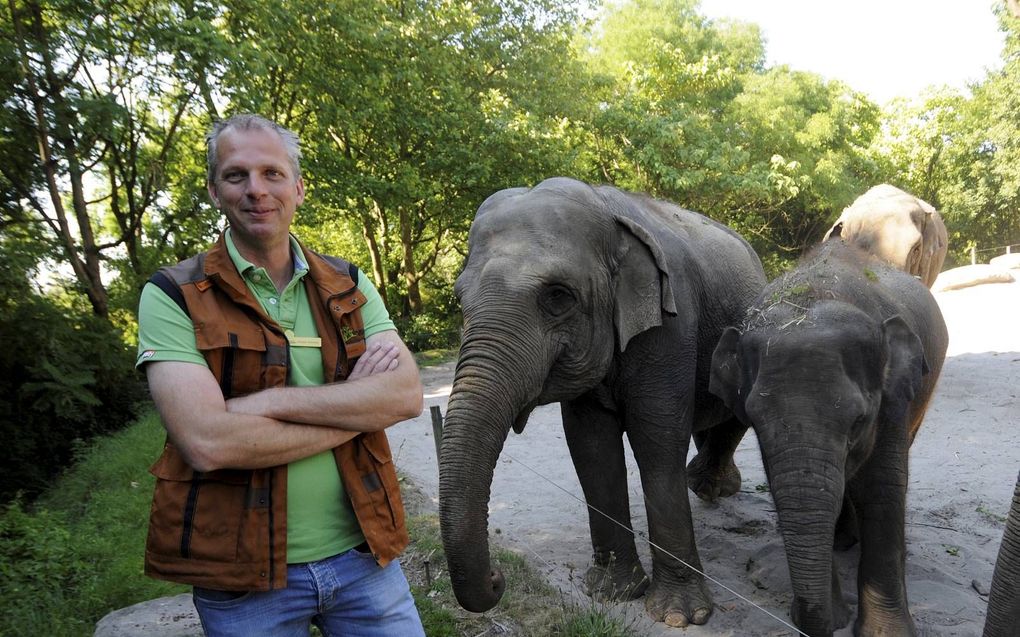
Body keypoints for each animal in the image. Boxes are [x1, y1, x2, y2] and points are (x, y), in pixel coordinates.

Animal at [438, 177, 767, 627]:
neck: (610, 211)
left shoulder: (672, 326)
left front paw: (680, 616)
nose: (497, 577)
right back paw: (708, 486)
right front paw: (614, 593)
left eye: (558, 297)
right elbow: (591, 446)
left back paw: (707, 486)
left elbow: (657, 440)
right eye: (459, 299)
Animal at [709, 239, 946, 635]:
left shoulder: (892, 402)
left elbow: (882, 490)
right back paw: (843, 540)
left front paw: (886, 632)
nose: (801, 619)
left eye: (859, 420)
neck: (820, 289)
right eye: (754, 420)